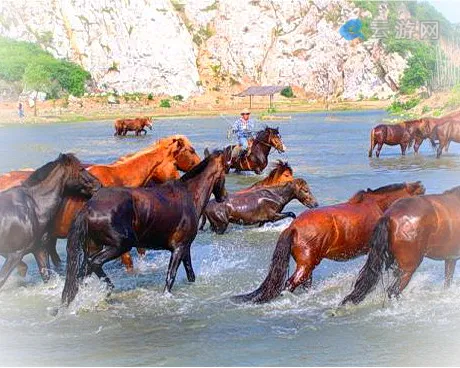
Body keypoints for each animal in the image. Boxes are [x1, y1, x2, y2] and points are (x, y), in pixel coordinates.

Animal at [0, 153, 100, 290]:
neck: (35, 206)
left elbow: (46, 275)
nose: (98, 184)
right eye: (81, 168)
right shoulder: (14, 254)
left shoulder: (39, 249)